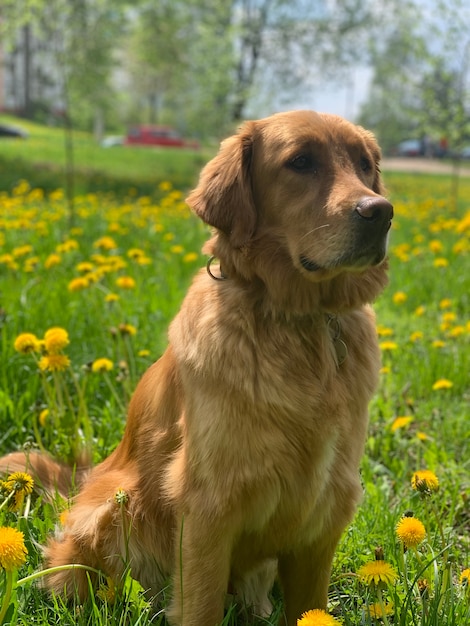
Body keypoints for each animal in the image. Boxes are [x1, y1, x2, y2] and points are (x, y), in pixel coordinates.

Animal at [0, 109, 392, 620]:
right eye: (301, 162)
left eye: (365, 164)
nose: (381, 212)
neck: (299, 322)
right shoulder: (209, 506)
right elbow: (201, 606)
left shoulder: (326, 507)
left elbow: (311, 609)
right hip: (112, 511)